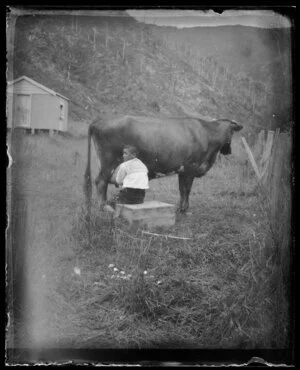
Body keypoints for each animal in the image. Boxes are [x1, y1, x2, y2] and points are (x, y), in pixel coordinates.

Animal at [83, 115, 243, 214]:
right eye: (232, 132)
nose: (228, 151)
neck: (207, 135)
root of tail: (99, 121)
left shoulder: (183, 170)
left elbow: (181, 189)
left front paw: (180, 208)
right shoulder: (191, 168)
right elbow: (187, 190)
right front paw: (185, 209)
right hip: (108, 162)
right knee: (101, 182)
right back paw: (103, 207)